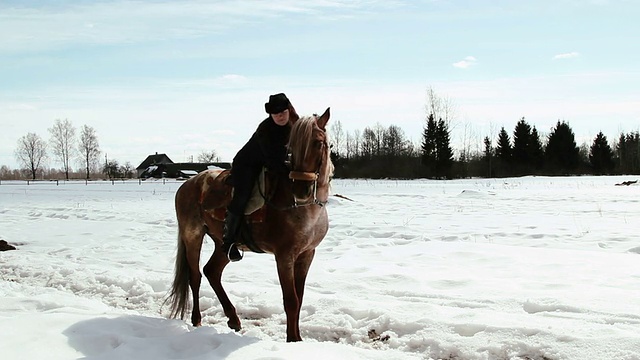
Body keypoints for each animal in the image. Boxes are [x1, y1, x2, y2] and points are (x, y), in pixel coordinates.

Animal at [165, 106, 336, 340]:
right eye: (290, 148)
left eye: (319, 143)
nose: (302, 190)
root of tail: (187, 184)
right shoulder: (284, 257)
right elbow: (291, 301)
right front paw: (292, 340)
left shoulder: (307, 254)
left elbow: (299, 299)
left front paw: (298, 339)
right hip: (193, 236)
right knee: (195, 276)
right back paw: (197, 320)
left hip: (223, 243)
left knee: (212, 272)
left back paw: (233, 319)